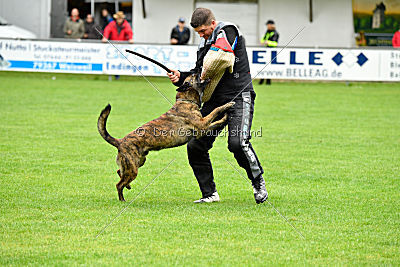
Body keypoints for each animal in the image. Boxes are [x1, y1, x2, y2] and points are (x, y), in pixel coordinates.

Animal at [97, 73, 234, 201]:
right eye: (194, 76)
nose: (197, 70)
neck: (186, 101)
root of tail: (120, 142)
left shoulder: (204, 127)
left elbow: (216, 121)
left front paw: (225, 117)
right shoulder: (203, 125)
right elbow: (215, 110)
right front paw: (227, 105)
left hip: (138, 162)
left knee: (119, 172)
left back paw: (128, 186)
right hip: (133, 168)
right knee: (118, 185)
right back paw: (122, 199)